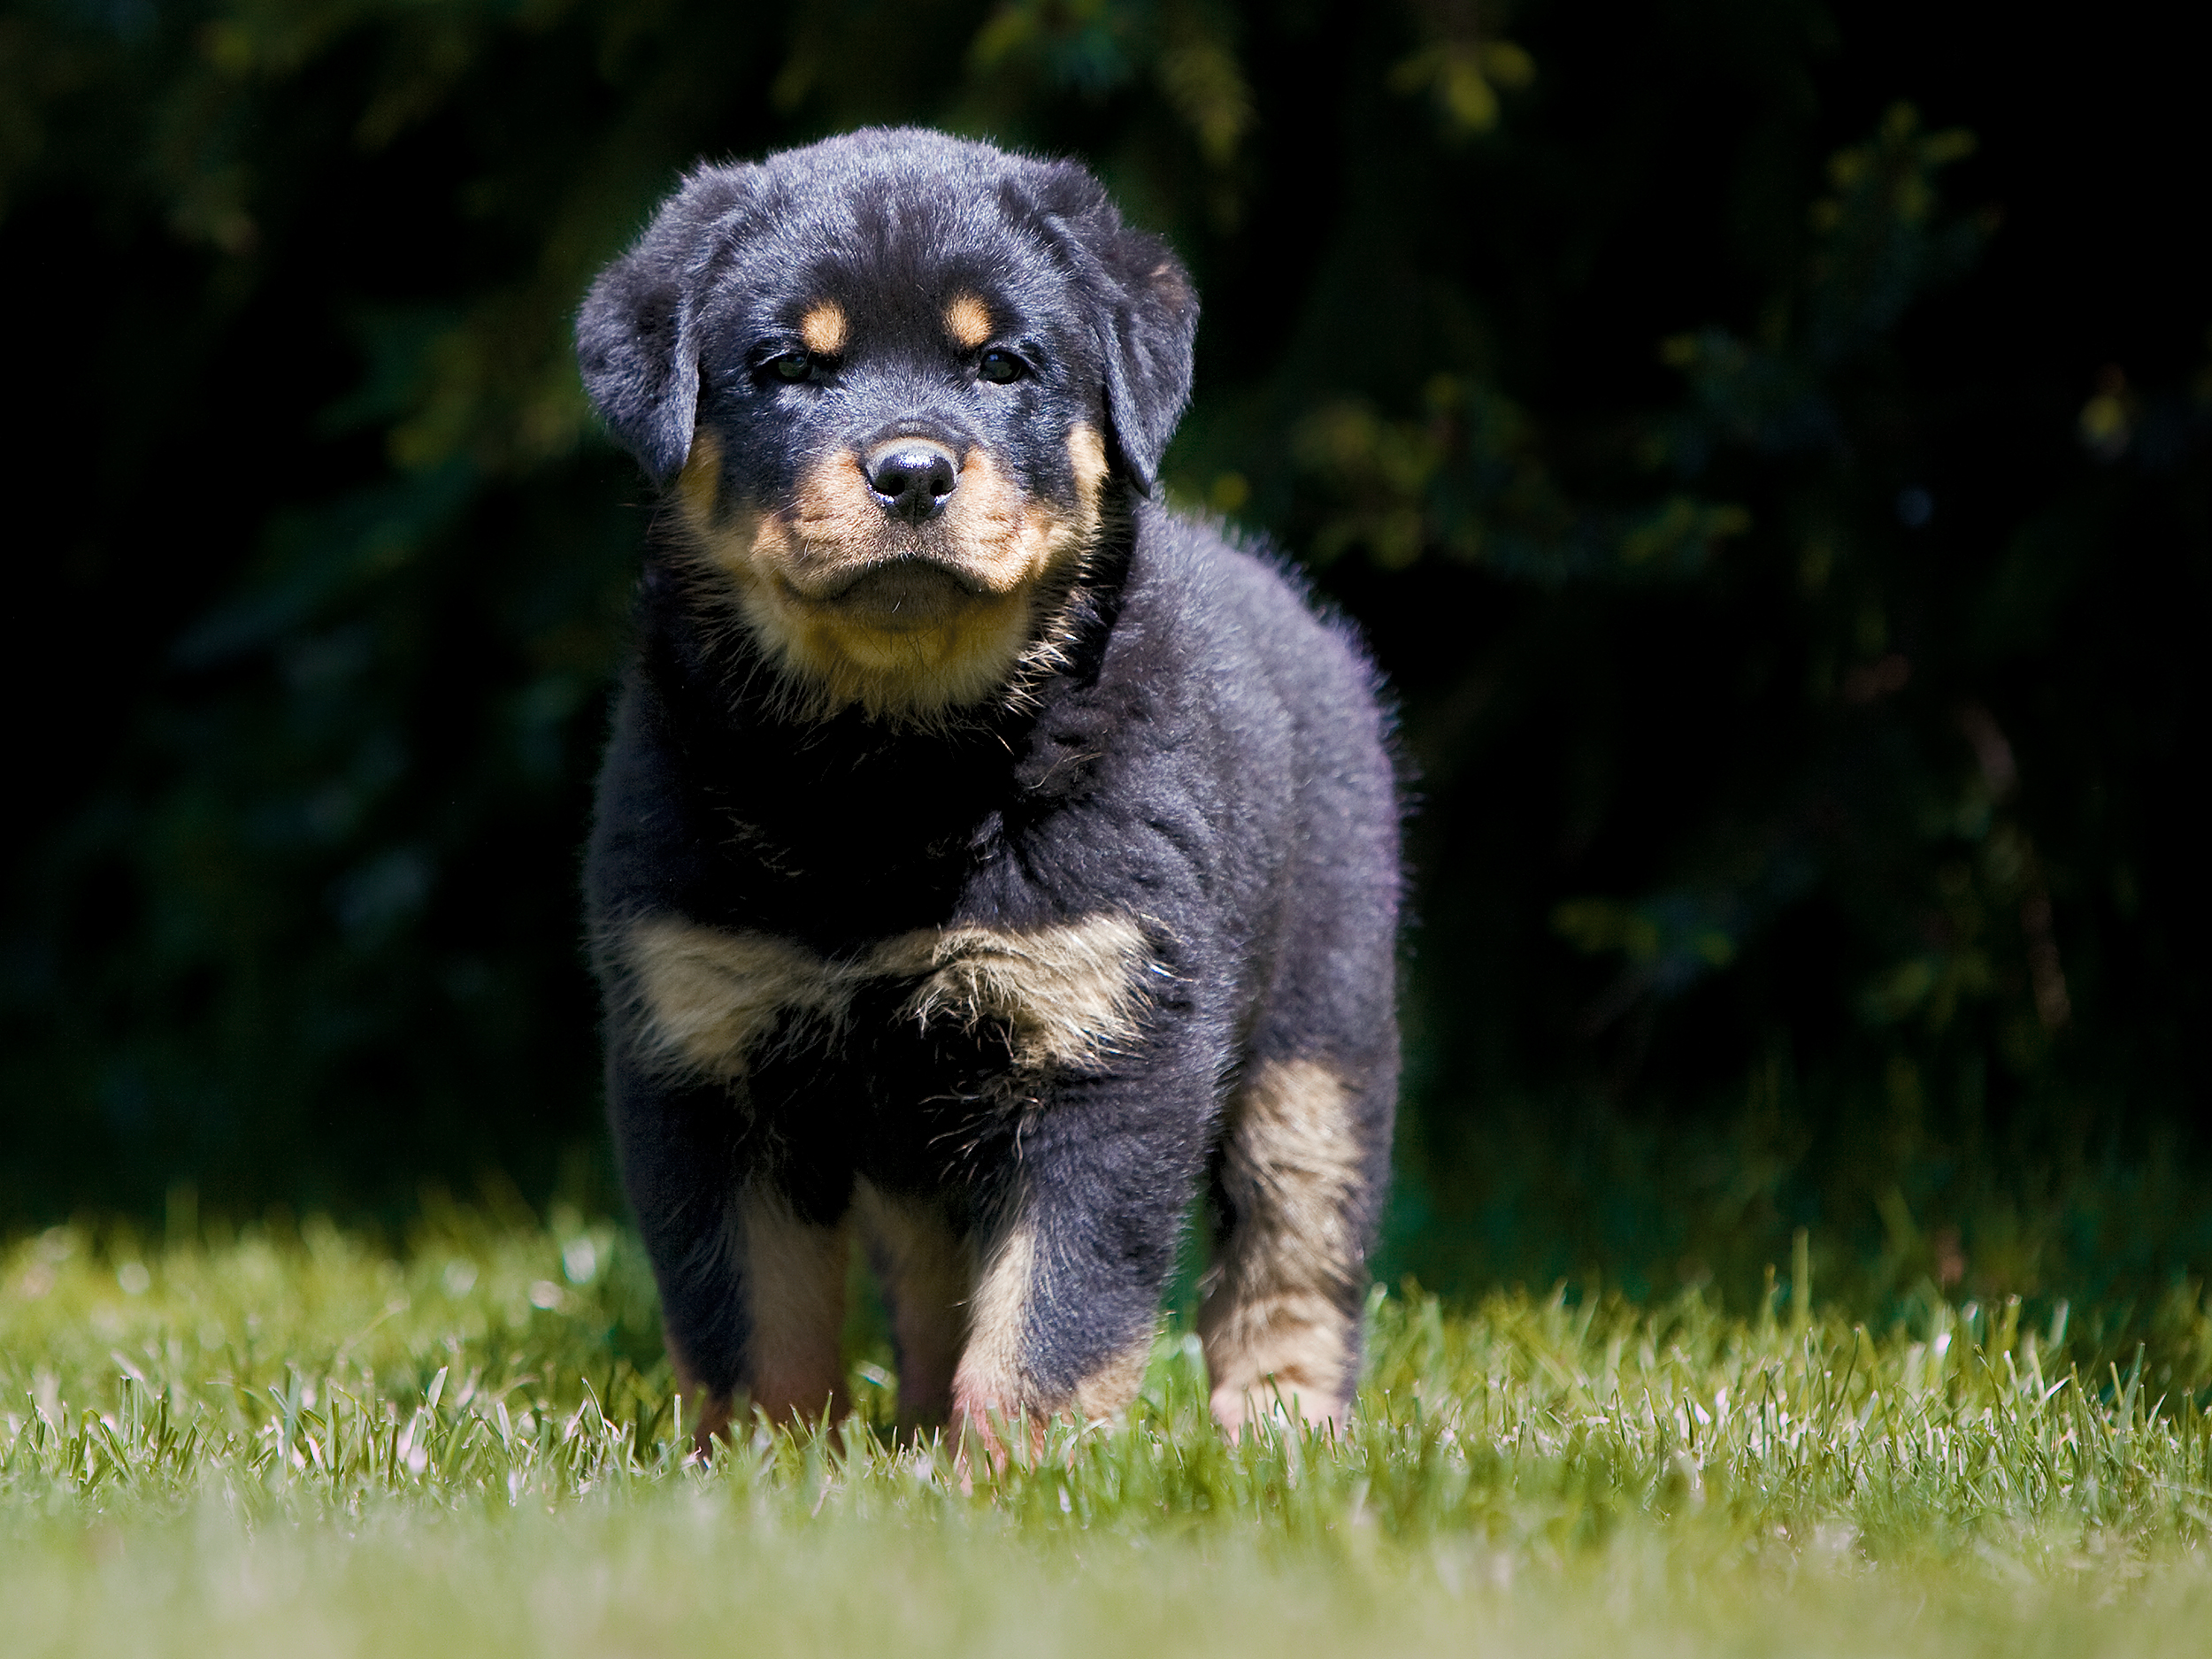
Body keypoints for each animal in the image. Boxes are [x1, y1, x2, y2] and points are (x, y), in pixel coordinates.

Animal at [575, 129, 1398, 1451]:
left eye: (1003, 362)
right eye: (786, 366)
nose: (911, 473)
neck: (892, 768)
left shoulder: (1106, 1036)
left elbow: (1054, 1317)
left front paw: (1020, 1473)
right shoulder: (703, 1047)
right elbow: (749, 1326)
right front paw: (760, 1469)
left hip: (1316, 1034)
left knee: (1296, 1250)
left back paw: (1280, 1433)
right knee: (931, 1274)